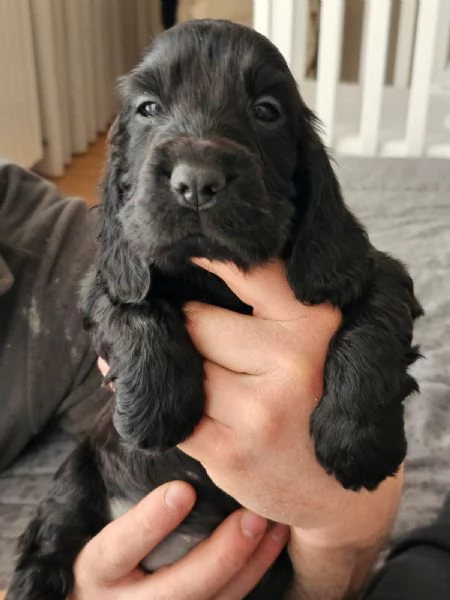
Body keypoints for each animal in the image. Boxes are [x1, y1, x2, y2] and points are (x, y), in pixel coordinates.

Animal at [6, 18, 422, 600]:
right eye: (148, 108)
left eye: (267, 110)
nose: (196, 182)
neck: (212, 272)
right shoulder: (110, 274)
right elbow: (133, 308)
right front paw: (157, 408)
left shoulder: (365, 268)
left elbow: (375, 320)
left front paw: (357, 441)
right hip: (79, 469)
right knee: (55, 526)